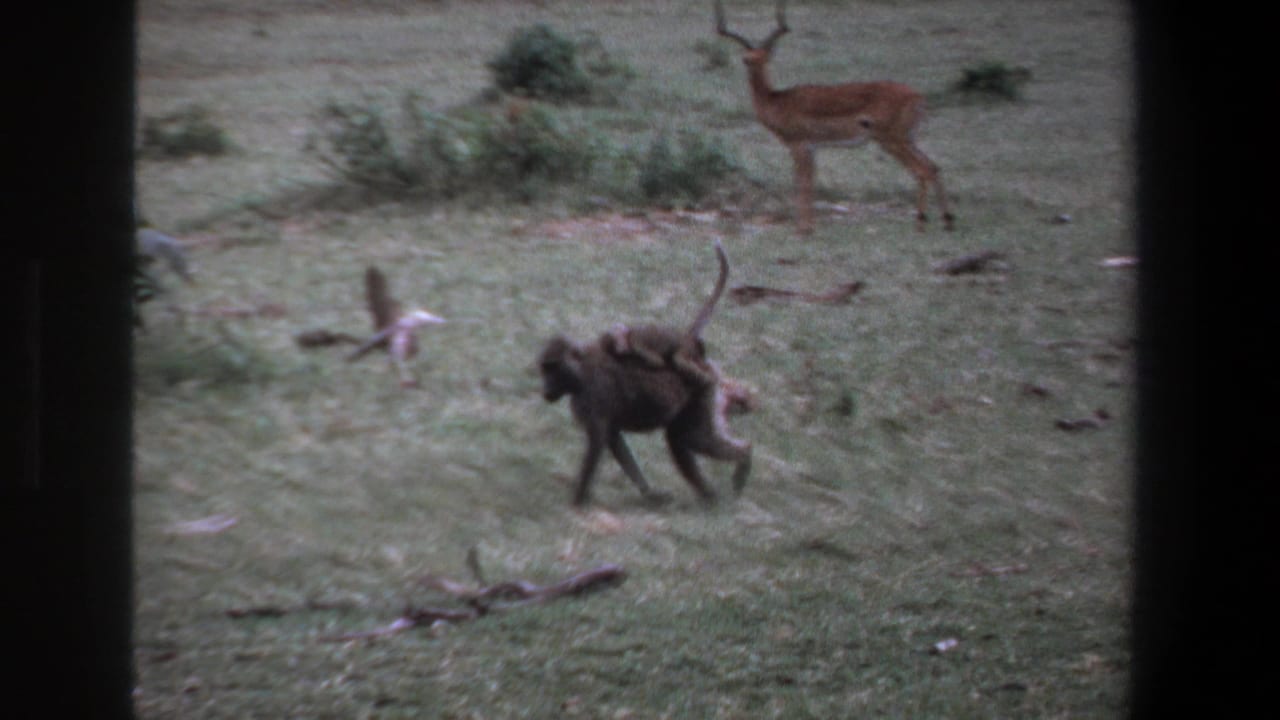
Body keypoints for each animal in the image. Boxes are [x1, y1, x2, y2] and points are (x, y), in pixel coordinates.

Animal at [598, 239, 730, 390]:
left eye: (617, 341)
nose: (618, 348)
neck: (630, 333)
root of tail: (685, 336)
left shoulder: (638, 345)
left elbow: (657, 362)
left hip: (686, 348)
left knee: (679, 359)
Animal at [715, 0, 954, 235]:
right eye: (749, 59)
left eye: (762, 58)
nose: (748, 60)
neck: (777, 100)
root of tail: (917, 96)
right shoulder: (810, 148)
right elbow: (808, 181)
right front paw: (808, 226)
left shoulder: (800, 145)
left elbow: (803, 183)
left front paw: (803, 228)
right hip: (908, 139)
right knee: (933, 167)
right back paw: (945, 220)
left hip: (891, 140)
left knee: (922, 170)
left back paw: (923, 223)